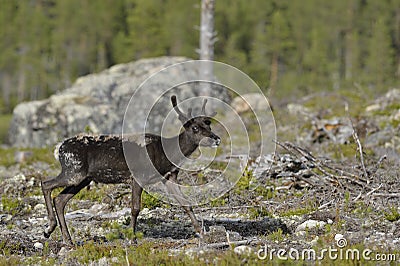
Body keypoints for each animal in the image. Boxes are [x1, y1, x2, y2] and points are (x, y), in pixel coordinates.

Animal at [42, 95, 220, 245]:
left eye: (208, 126)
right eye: (195, 128)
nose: (216, 139)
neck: (166, 153)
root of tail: (58, 148)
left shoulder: (169, 177)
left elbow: (186, 204)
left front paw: (202, 233)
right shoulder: (137, 177)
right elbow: (135, 209)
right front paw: (132, 239)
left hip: (83, 178)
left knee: (59, 200)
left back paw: (67, 240)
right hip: (73, 172)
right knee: (46, 184)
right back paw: (49, 229)